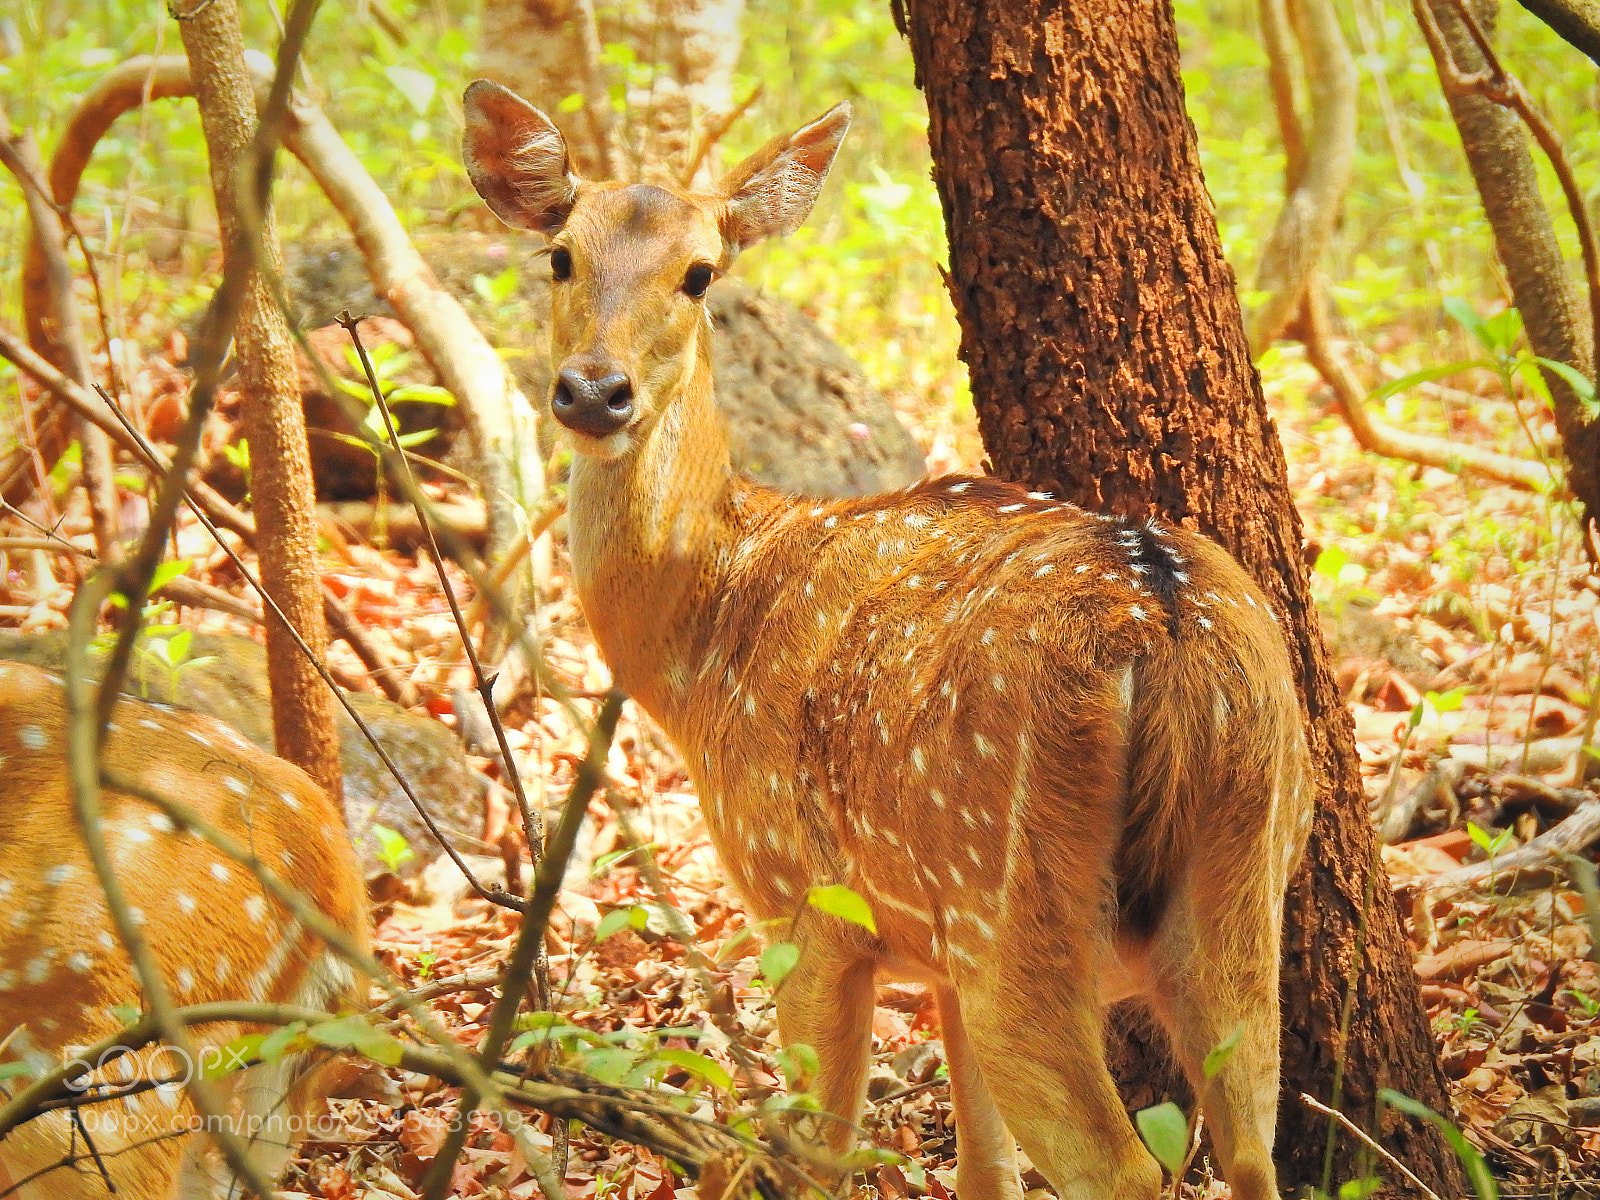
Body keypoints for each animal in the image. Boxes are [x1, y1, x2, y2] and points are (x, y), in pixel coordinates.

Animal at [462, 80, 1314, 1200]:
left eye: (700, 273)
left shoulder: (802, 908)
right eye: (559, 255)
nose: (593, 392)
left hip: (1012, 912)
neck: (703, 639)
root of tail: (1158, 618)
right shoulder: (935, 958)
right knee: (1253, 1149)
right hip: (1239, 882)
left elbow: (817, 1152)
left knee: (1123, 1168)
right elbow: (984, 1169)